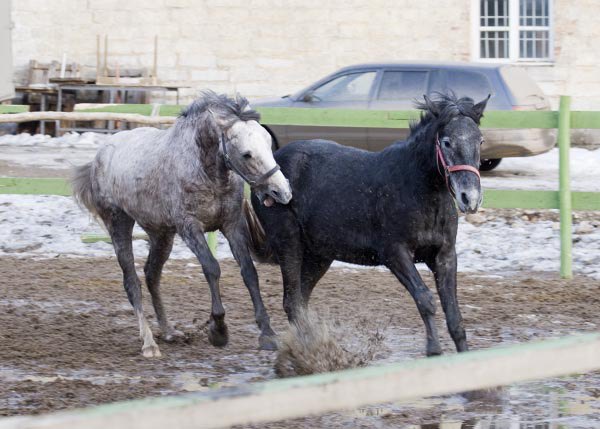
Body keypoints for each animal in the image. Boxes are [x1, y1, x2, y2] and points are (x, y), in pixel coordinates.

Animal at [71, 91, 292, 358]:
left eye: (268, 144)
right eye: (246, 154)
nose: (282, 192)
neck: (205, 170)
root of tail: (98, 158)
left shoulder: (232, 224)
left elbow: (249, 271)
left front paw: (267, 333)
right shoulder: (190, 227)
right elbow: (211, 268)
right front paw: (218, 330)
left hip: (161, 234)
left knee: (151, 275)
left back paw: (168, 331)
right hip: (119, 224)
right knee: (132, 281)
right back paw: (149, 343)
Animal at [251, 93, 490, 354]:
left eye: (480, 140)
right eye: (447, 142)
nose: (470, 198)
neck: (418, 188)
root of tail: (267, 176)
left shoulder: (445, 256)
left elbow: (454, 315)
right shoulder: (395, 253)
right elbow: (425, 299)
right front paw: (433, 350)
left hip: (319, 255)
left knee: (300, 300)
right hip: (289, 244)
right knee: (292, 301)